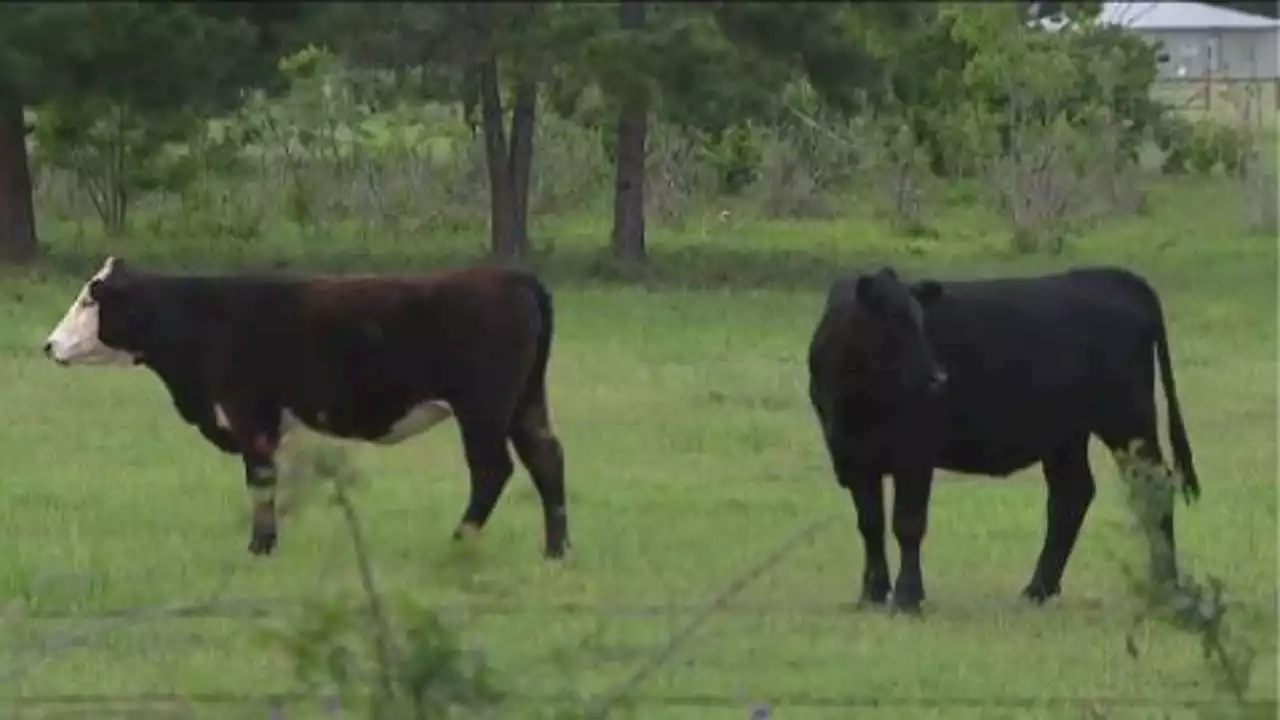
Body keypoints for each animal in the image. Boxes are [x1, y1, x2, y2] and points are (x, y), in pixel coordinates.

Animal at [42, 254, 568, 558]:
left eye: (89, 301)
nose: (49, 345)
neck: (206, 316)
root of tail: (512, 276)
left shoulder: (250, 413)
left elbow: (260, 480)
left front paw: (261, 546)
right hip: (525, 402)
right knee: (546, 457)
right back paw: (555, 549)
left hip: (483, 407)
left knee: (492, 468)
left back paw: (460, 540)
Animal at [808, 263, 1198, 609]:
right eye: (891, 324)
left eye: (920, 322)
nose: (937, 378)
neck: (859, 403)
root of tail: (1116, 276)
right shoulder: (851, 457)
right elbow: (870, 525)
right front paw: (872, 594)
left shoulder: (915, 454)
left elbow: (907, 524)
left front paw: (907, 596)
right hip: (1065, 435)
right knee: (1072, 495)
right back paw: (1039, 589)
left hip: (1127, 420)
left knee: (1153, 487)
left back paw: (1165, 585)